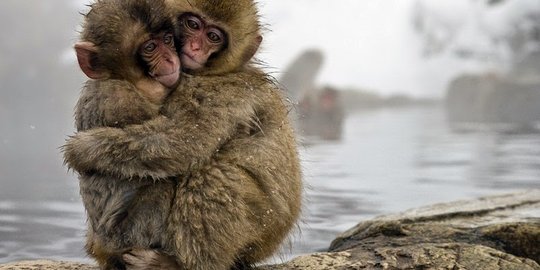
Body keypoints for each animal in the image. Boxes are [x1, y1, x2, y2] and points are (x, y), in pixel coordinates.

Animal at [65, 0, 302, 270]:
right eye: (193, 24)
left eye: (213, 37)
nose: (194, 47)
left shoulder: (215, 92)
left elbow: (184, 142)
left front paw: (82, 149)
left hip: (262, 228)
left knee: (212, 176)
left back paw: (178, 264)